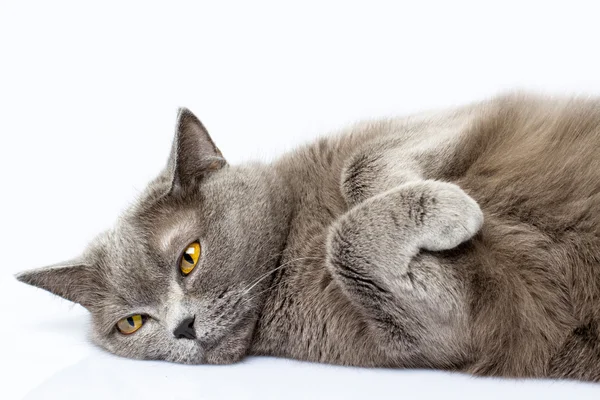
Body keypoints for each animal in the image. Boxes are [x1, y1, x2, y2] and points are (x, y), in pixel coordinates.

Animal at [14, 93, 600, 382]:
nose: (182, 328)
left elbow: (360, 166)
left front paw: (451, 204)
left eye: (189, 258)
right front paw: (451, 208)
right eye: (133, 324)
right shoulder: (439, 334)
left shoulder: (450, 118)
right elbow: (348, 246)